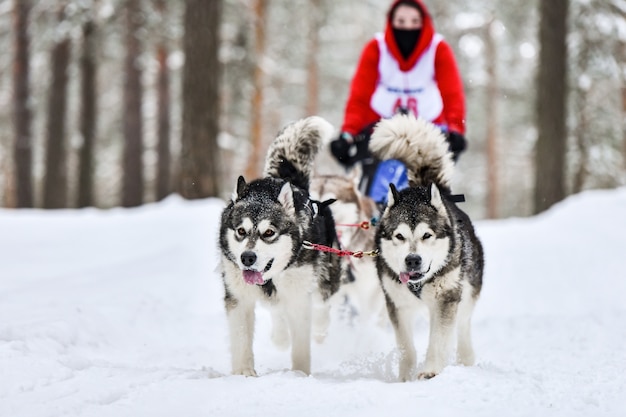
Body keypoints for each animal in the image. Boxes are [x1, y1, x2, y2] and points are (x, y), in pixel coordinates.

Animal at [218, 115, 342, 376]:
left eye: (269, 233)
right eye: (241, 231)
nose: (247, 258)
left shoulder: (299, 298)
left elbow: (302, 344)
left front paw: (300, 374)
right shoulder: (238, 298)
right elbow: (242, 337)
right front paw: (244, 373)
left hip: (327, 277)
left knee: (323, 305)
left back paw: (319, 329)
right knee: (277, 309)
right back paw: (281, 335)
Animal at [370, 114, 482, 380]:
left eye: (427, 235)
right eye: (399, 236)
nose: (413, 260)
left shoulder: (446, 299)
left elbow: (438, 341)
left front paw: (430, 371)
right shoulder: (397, 304)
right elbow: (406, 347)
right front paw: (405, 377)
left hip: (466, 294)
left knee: (462, 327)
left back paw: (465, 360)